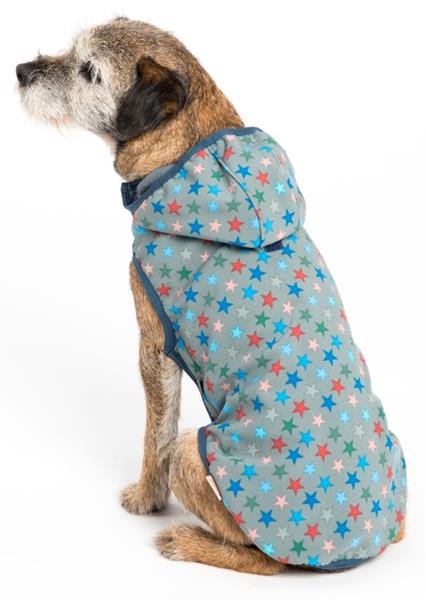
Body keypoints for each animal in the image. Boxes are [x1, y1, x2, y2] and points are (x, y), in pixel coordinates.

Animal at [17, 17, 407, 575]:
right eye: (72, 51)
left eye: (88, 71)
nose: (21, 71)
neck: (189, 146)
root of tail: (363, 547)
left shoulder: (154, 347)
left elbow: (155, 434)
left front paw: (145, 500)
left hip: (197, 453)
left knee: (265, 558)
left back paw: (185, 540)